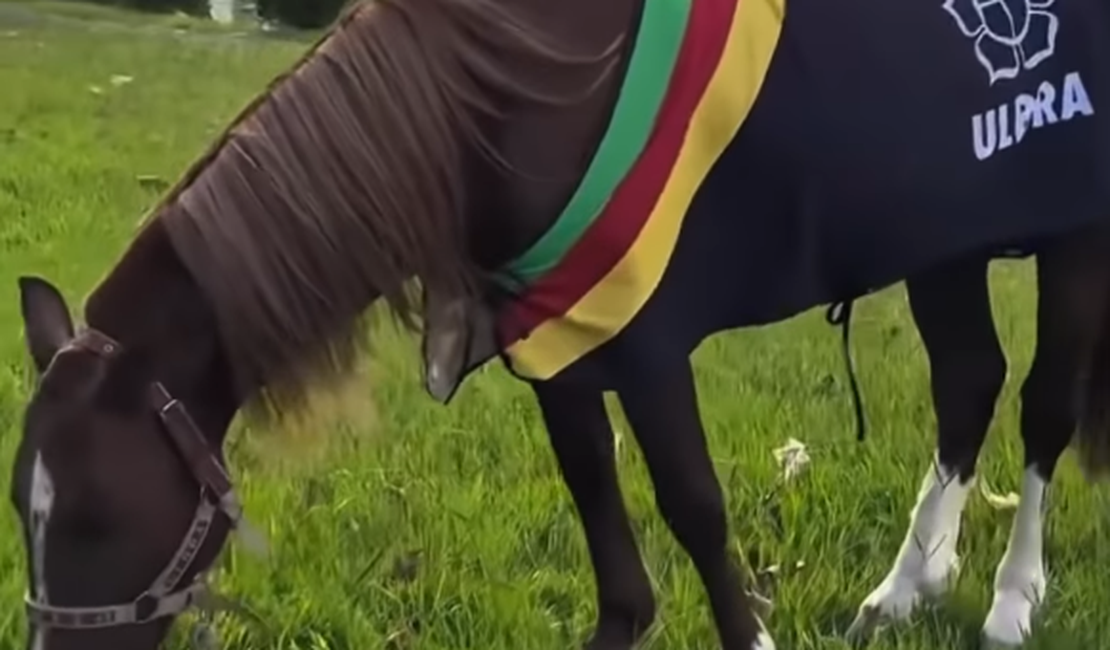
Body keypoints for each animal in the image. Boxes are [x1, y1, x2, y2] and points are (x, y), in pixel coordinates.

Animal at [9, 0, 1110, 647]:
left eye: (97, 516)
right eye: (24, 506)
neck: (501, 99)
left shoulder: (647, 341)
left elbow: (694, 510)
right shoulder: (561, 345)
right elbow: (608, 534)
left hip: (1065, 233)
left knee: (1044, 407)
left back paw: (1012, 599)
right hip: (942, 235)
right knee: (967, 381)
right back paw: (908, 584)